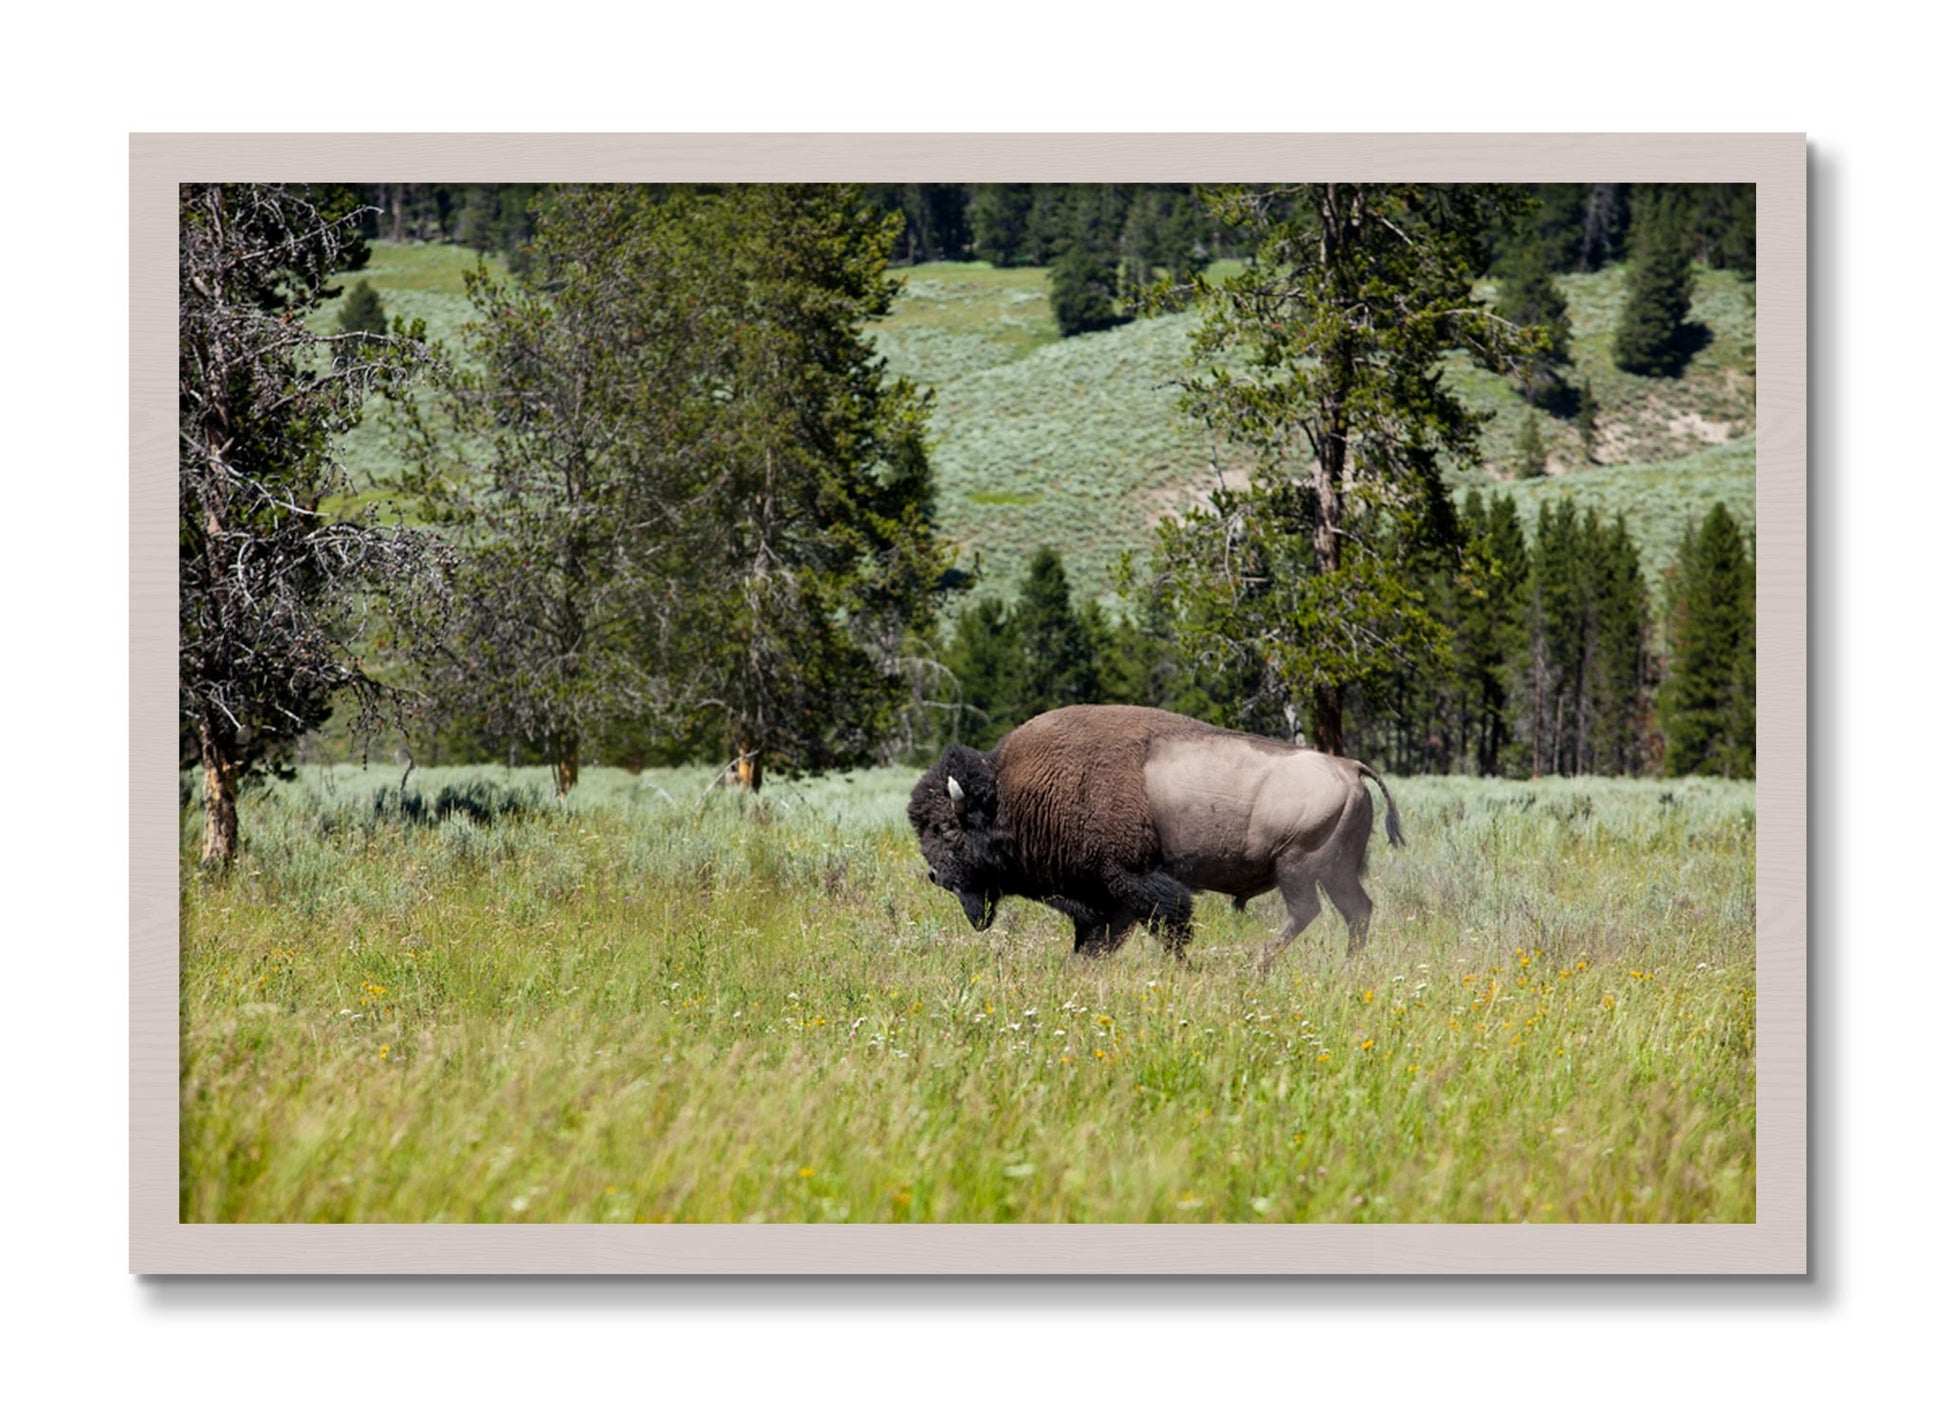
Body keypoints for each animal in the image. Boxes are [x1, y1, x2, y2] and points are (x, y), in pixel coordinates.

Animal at [908, 704, 1403, 969]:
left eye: (945, 828)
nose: (936, 875)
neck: (1011, 794)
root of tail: (1349, 766)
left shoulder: (1132, 880)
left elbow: (1169, 925)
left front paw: (1184, 966)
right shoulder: (1105, 898)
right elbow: (1099, 938)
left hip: (1297, 866)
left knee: (1307, 912)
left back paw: (1256, 964)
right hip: (1335, 871)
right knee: (1357, 911)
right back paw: (1347, 966)